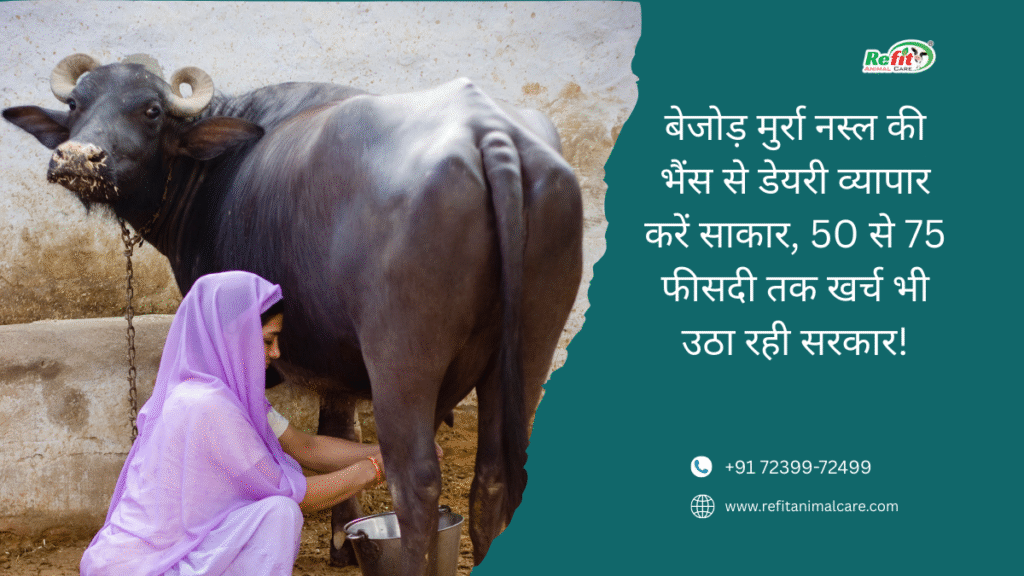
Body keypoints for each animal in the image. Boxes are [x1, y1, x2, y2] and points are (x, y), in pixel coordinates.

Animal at [3, 54, 583, 575]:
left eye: (150, 110)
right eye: (76, 104)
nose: (78, 158)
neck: (209, 176)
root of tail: (489, 134)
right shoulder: (337, 359)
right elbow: (339, 429)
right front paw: (345, 539)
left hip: (402, 357)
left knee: (416, 484)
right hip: (529, 346)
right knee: (495, 477)